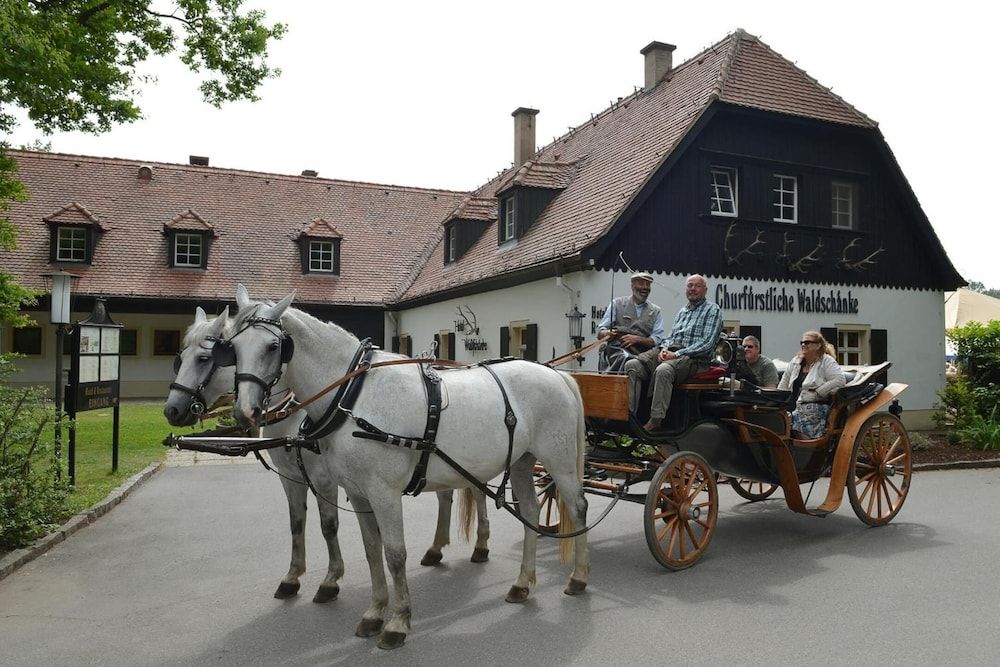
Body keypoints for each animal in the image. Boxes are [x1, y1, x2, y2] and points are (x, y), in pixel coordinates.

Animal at [164, 308, 492, 604]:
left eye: (207, 358)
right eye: (181, 356)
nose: (172, 410)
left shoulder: (324, 479)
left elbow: (328, 525)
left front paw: (330, 580)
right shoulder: (291, 478)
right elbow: (296, 522)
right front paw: (292, 577)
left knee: (477, 491)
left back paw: (481, 546)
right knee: (446, 495)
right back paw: (436, 549)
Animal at [223, 288, 588, 652]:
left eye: (273, 346)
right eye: (231, 346)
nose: (245, 413)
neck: (353, 397)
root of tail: (556, 374)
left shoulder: (384, 492)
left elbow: (395, 554)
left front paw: (397, 622)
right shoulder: (358, 492)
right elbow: (372, 551)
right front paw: (374, 613)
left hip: (558, 461)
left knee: (577, 507)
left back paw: (578, 577)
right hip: (522, 461)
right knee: (530, 512)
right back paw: (523, 582)